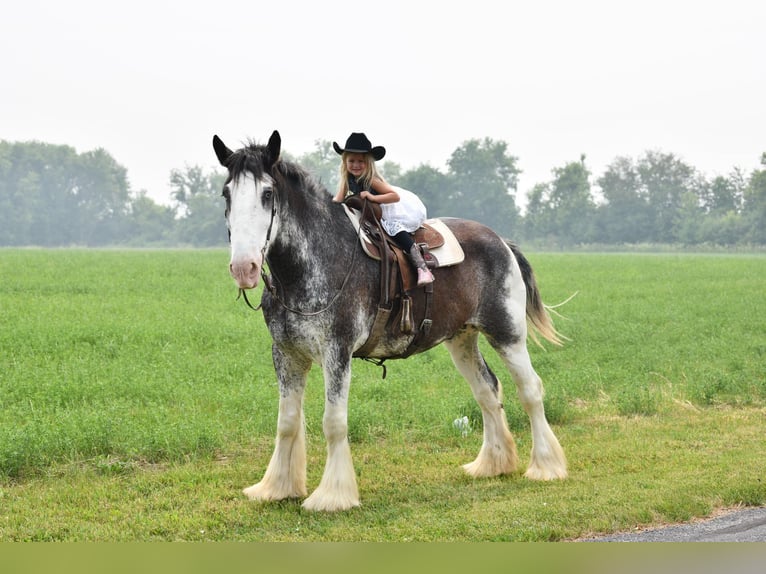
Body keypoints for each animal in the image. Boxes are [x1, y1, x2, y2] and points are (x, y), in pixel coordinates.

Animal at [213, 130, 568, 512]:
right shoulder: (286, 354)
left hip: (507, 334)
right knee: (487, 391)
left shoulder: (337, 354)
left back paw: (546, 466)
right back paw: (492, 464)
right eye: (226, 193)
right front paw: (276, 487)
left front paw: (332, 496)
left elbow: (333, 422)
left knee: (530, 390)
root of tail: (501, 241)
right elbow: (287, 422)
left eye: (267, 194)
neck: (316, 260)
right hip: (461, 339)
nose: (244, 268)